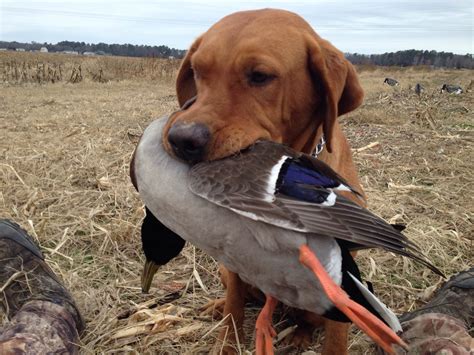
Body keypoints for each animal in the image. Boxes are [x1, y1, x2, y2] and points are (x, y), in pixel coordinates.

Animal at [163, 9, 366, 355]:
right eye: (197, 71)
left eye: (260, 76)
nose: (181, 140)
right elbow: (234, 306)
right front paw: (227, 343)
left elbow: (337, 335)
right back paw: (217, 306)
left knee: (307, 319)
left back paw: (299, 335)